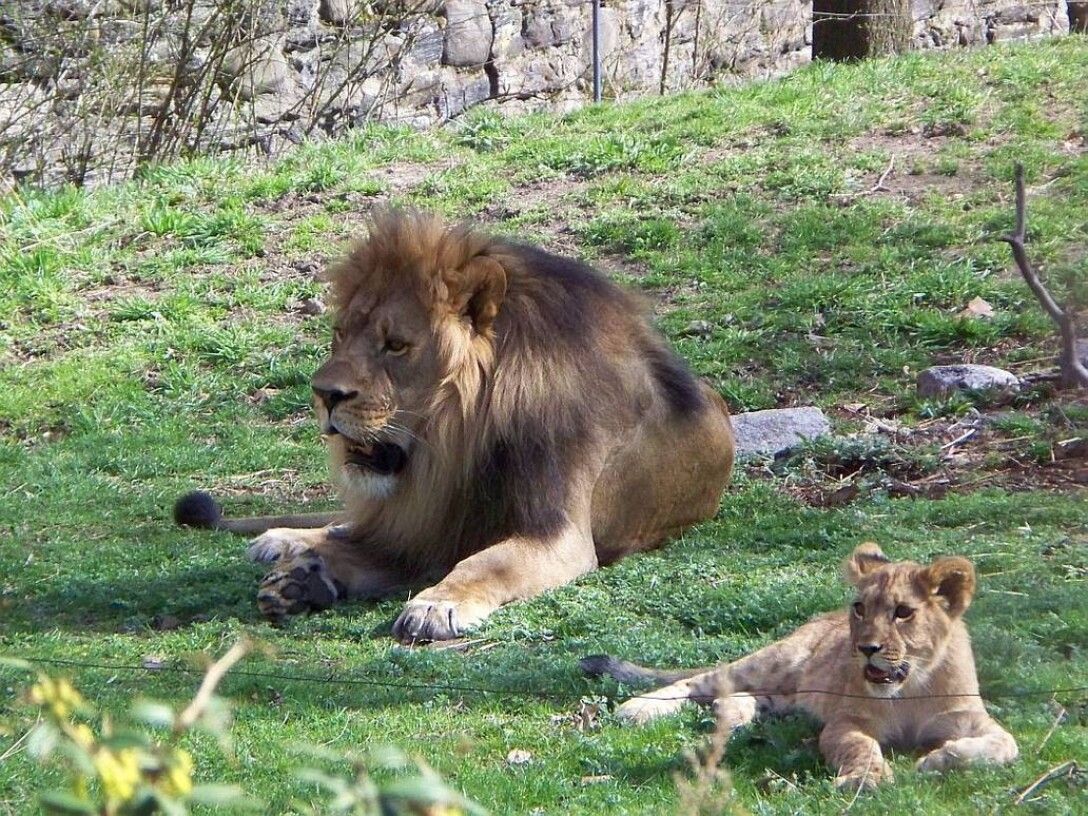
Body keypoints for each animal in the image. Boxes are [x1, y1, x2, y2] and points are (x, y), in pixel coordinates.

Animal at [178, 211, 735, 644]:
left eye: (396, 345)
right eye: (339, 334)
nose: (323, 394)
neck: (453, 447)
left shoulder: (558, 535)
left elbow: (487, 562)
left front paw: (435, 604)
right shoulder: (425, 527)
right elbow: (359, 543)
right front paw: (306, 573)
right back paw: (285, 543)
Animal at [583, 544, 1014, 792]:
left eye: (903, 613)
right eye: (860, 608)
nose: (866, 648)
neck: (911, 687)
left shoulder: (971, 719)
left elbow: (1006, 745)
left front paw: (939, 759)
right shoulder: (845, 722)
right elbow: (862, 748)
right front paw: (866, 779)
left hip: (794, 696)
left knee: (738, 696)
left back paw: (733, 718)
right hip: (777, 661)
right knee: (702, 680)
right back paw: (637, 709)